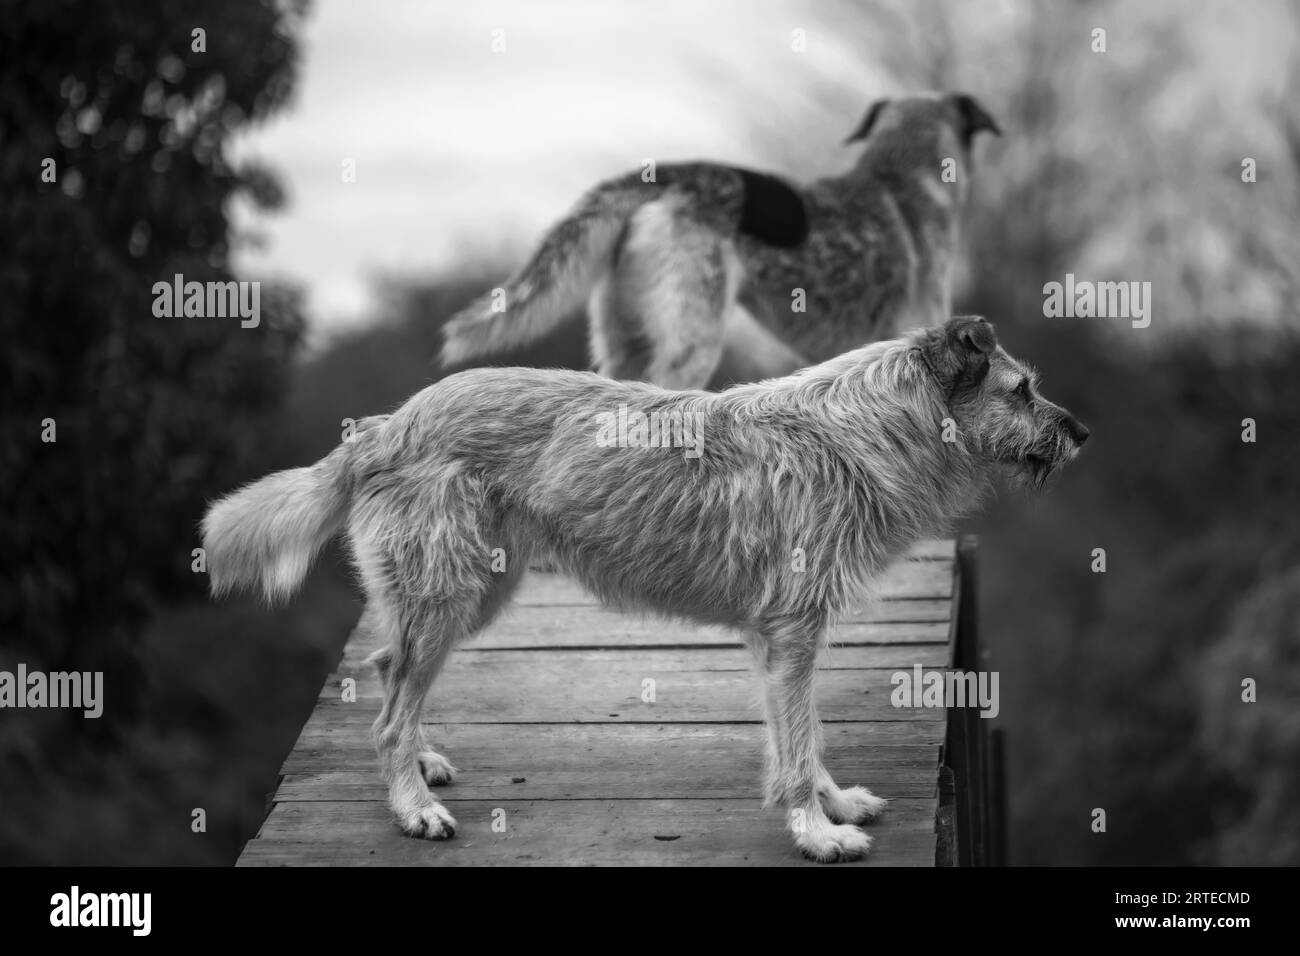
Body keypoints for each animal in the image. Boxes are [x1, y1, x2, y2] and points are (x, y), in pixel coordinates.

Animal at [205, 317, 1086, 863]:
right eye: (1021, 391)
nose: (1084, 432)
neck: (863, 429)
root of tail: (387, 424)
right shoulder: (792, 635)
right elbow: (800, 749)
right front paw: (815, 832)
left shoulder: (779, 643)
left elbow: (802, 740)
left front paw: (832, 807)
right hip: (449, 592)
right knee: (386, 714)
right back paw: (412, 804)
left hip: (467, 595)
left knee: (391, 670)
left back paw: (420, 763)